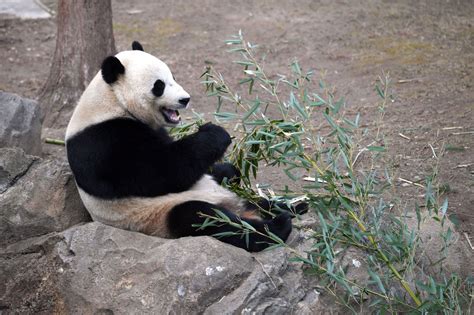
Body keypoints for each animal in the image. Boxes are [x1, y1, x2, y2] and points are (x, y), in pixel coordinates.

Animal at [65, 42, 306, 253]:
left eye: (173, 77)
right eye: (159, 85)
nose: (185, 99)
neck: (112, 101)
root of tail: (238, 207)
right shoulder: (102, 143)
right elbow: (162, 171)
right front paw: (214, 133)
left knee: (236, 181)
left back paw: (292, 206)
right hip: (159, 216)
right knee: (205, 219)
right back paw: (276, 227)